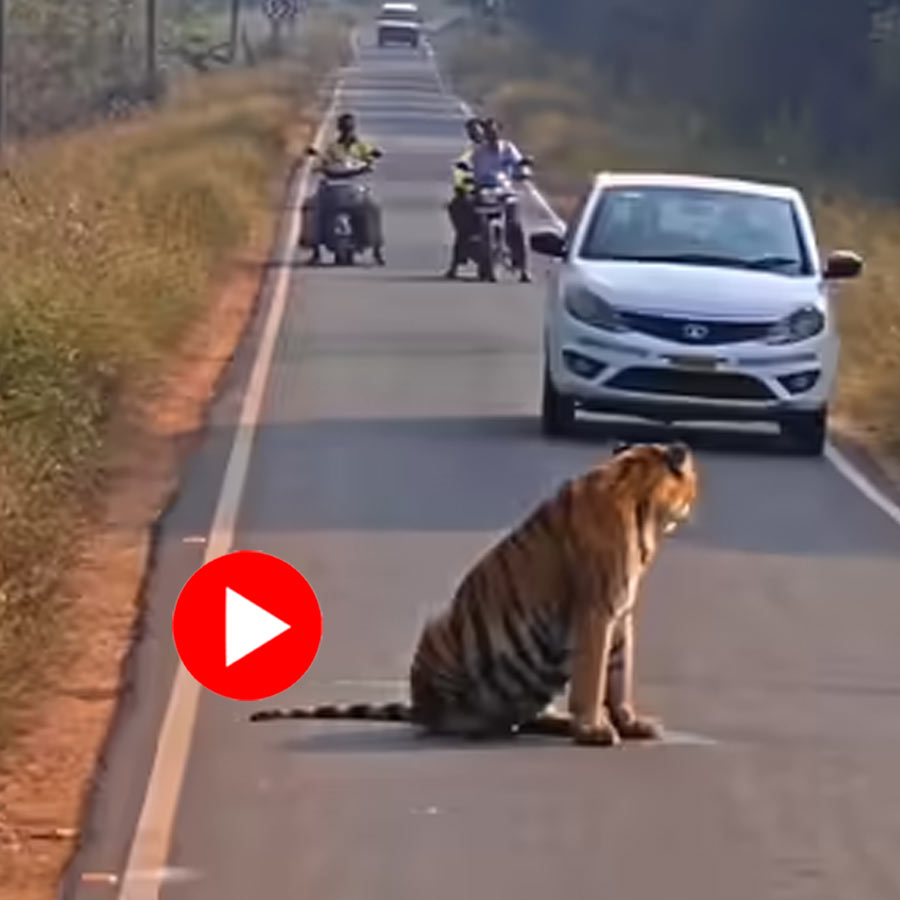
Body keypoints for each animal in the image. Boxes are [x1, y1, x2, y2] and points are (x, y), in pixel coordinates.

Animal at [250, 440, 698, 746]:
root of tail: (418, 705)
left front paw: (630, 723)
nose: (696, 503)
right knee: (442, 719)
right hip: (439, 637)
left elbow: (618, 674)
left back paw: (548, 722)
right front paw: (593, 729)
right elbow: (593, 678)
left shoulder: (619, 614)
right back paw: (474, 724)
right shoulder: (595, 611)